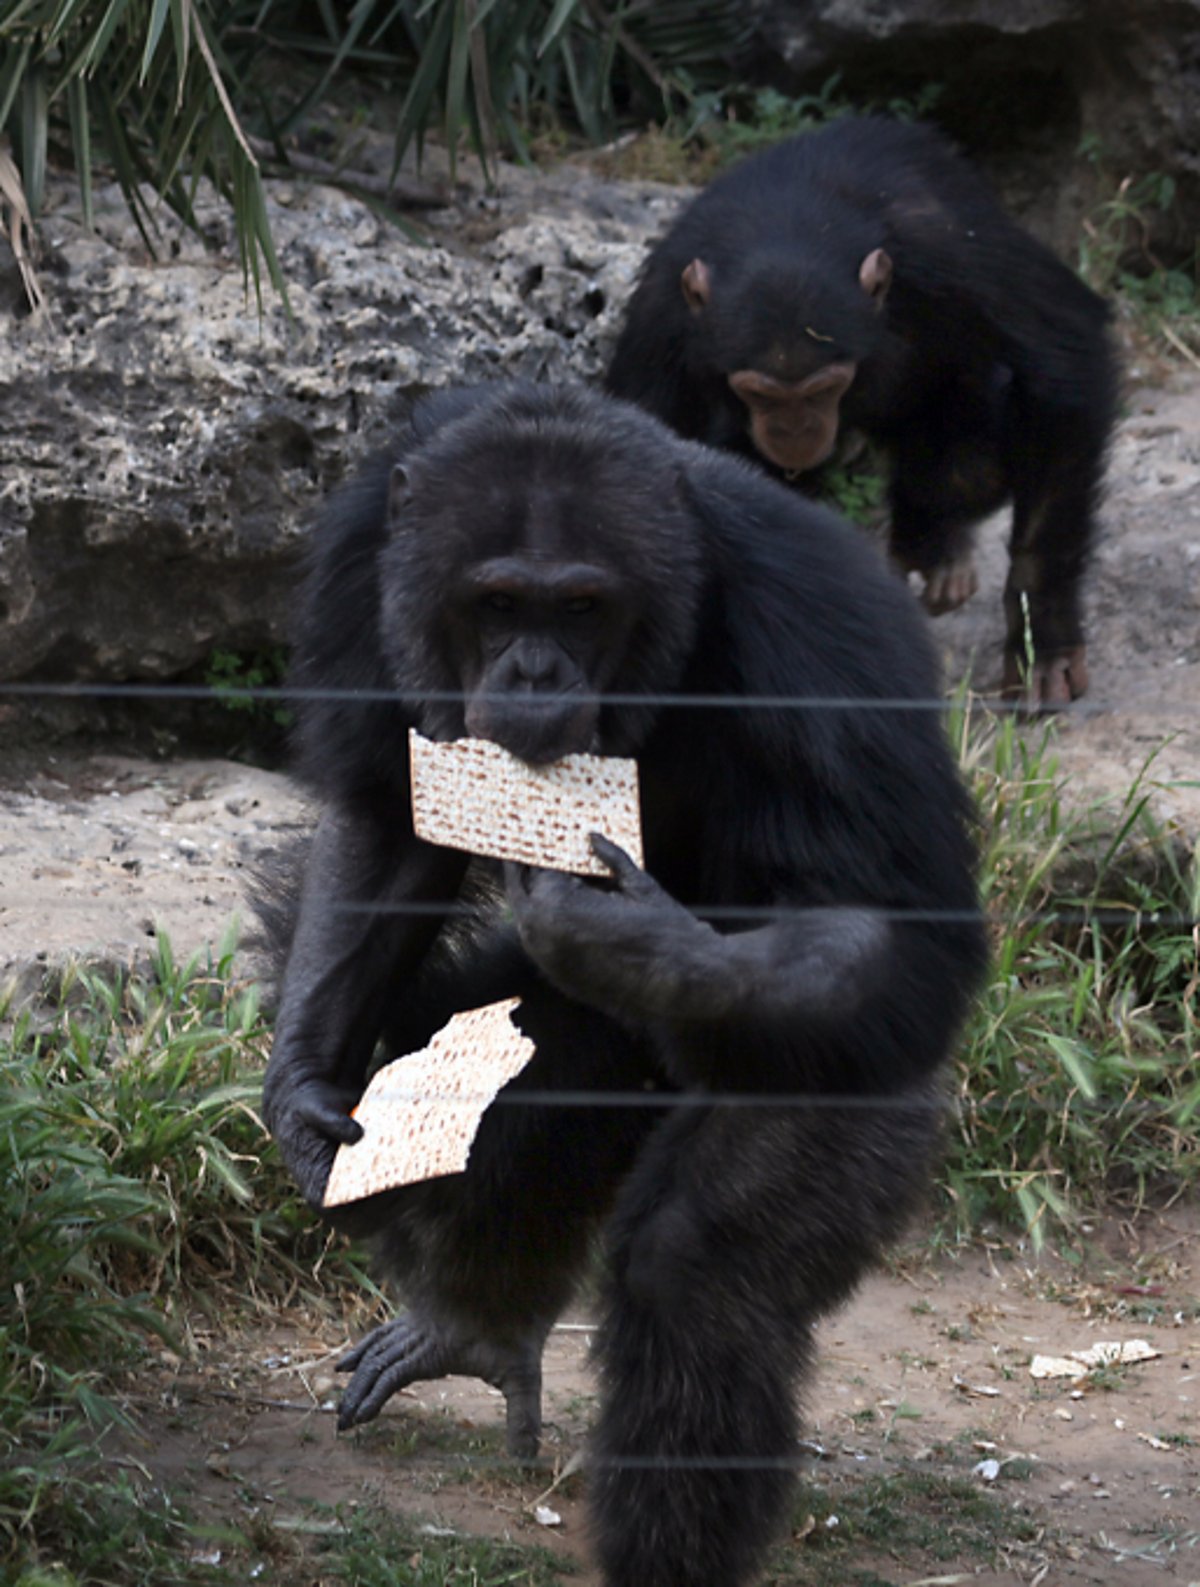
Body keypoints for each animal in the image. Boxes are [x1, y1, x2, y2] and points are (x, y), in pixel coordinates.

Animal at [260, 380, 984, 1587]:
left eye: (584, 606)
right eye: (499, 602)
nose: (535, 670)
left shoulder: (822, 631)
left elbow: (886, 913)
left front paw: (630, 937)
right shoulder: (367, 563)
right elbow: (387, 809)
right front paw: (307, 1088)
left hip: (855, 1073)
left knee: (701, 1269)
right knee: (517, 1088)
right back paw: (476, 1322)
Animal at [603, 122, 1117, 714]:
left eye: (826, 387)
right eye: (758, 393)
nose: (795, 430)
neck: (786, 222)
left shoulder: (953, 254)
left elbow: (1066, 369)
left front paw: (1045, 642)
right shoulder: (660, 319)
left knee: (968, 467)